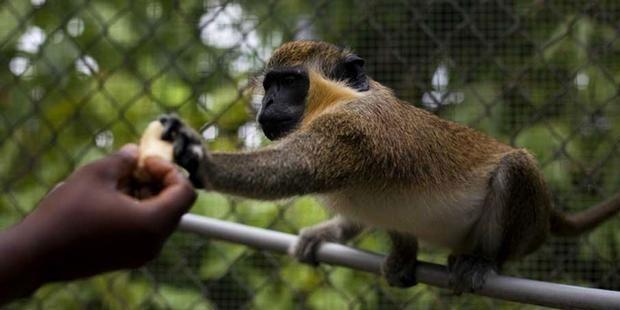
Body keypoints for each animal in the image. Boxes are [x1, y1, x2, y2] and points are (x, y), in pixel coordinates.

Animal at [159, 40, 620, 292]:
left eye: (289, 82)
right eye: (269, 84)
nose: (268, 102)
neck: (338, 99)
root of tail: (547, 215)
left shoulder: (355, 129)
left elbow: (290, 168)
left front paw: (201, 162)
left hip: (524, 229)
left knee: (515, 167)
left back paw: (484, 260)